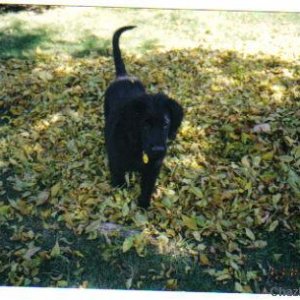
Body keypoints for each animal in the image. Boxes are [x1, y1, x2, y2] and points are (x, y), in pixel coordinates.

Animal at [104, 25, 183, 207]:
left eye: (166, 123)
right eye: (145, 125)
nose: (159, 150)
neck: (139, 147)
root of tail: (123, 76)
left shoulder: (153, 168)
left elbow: (147, 186)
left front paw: (143, 204)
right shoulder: (116, 163)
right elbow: (120, 182)